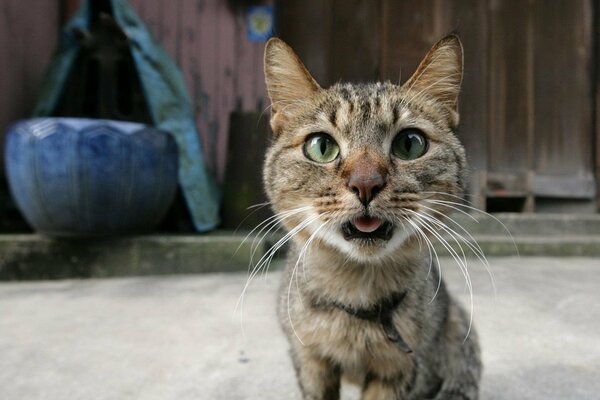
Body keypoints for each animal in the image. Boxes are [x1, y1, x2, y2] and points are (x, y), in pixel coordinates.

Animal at [262, 34, 482, 400]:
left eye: (410, 143)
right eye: (321, 146)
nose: (365, 183)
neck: (358, 294)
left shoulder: (400, 369)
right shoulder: (309, 361)